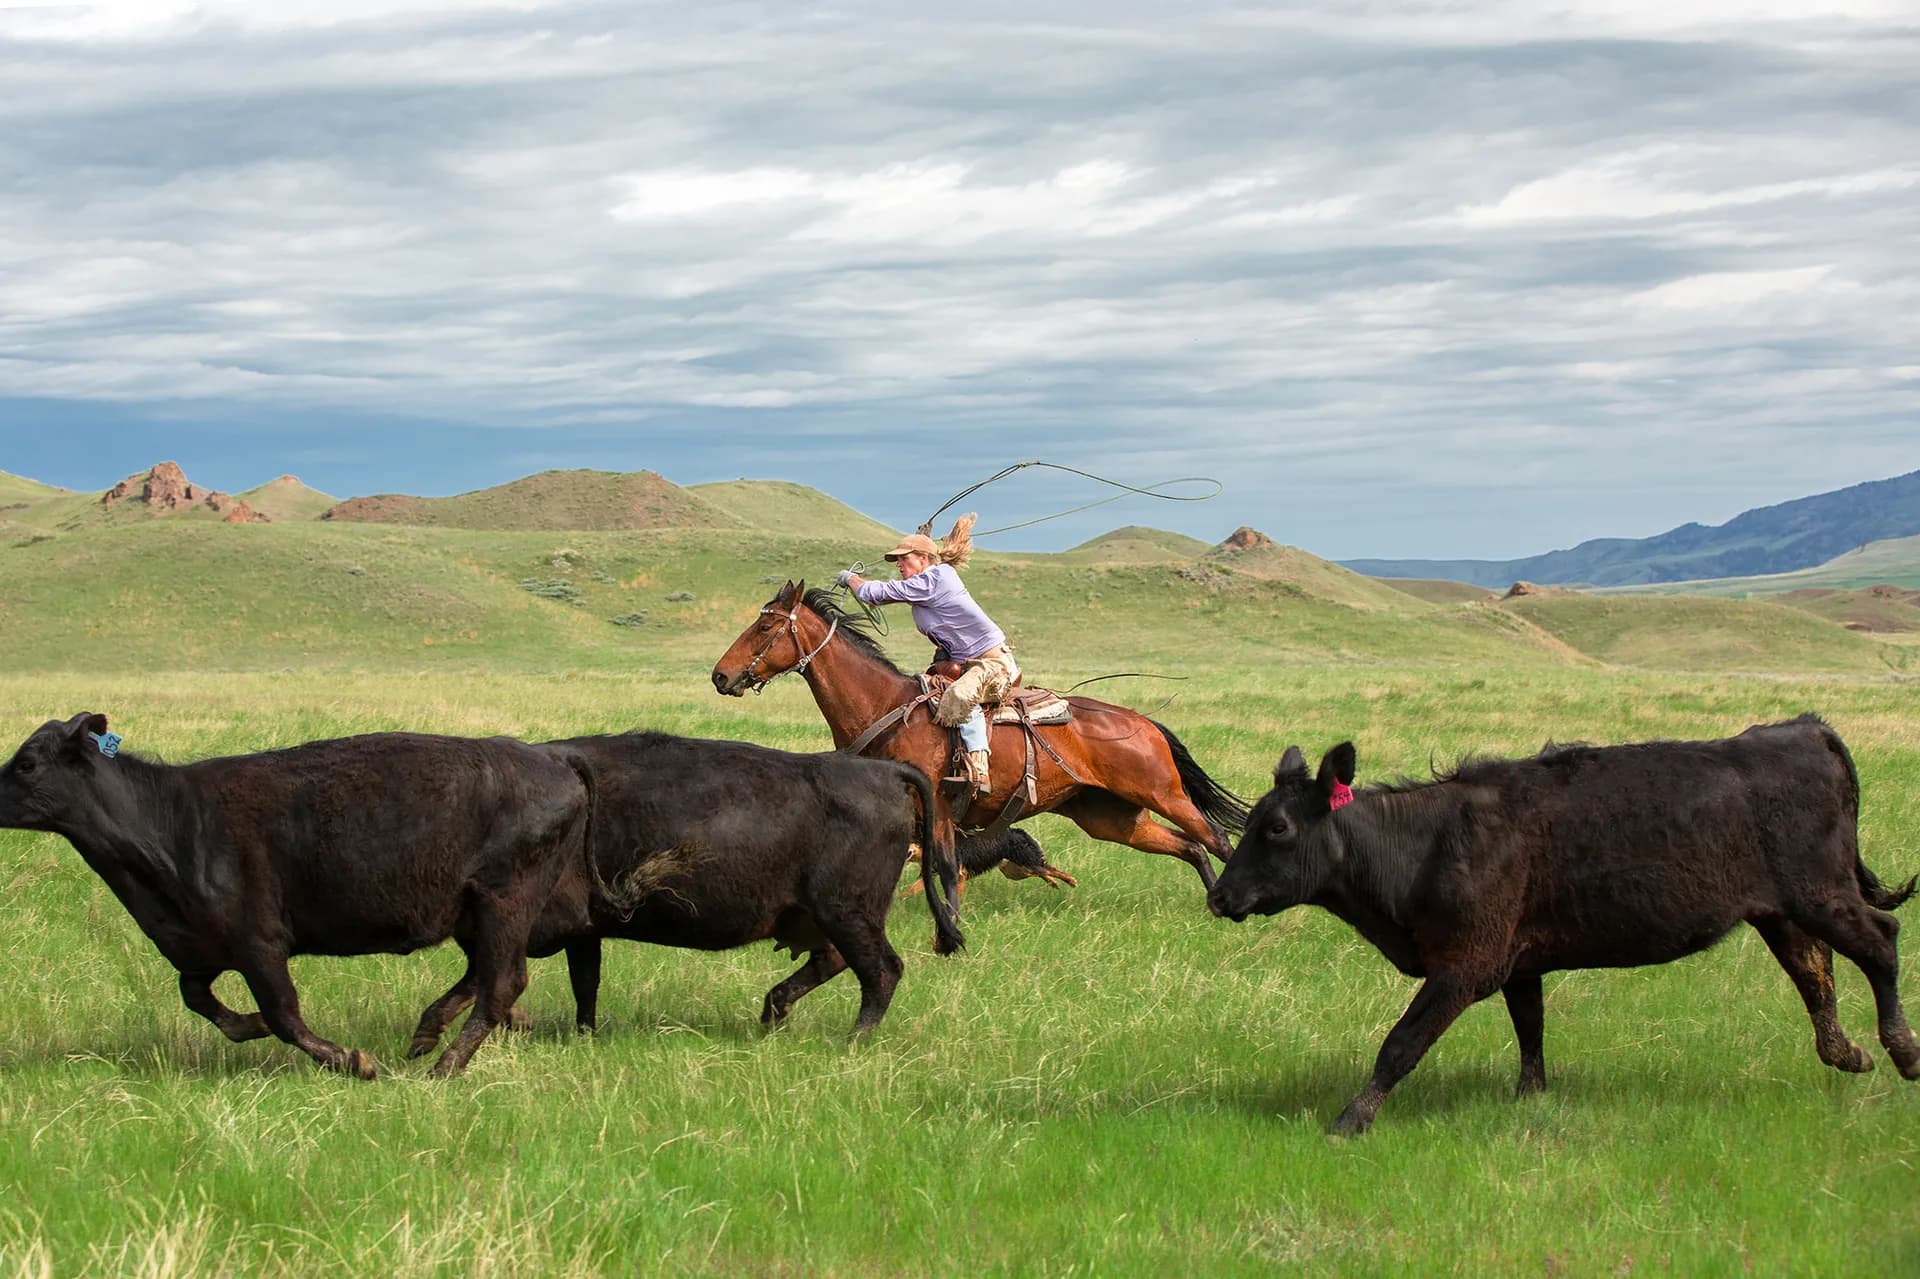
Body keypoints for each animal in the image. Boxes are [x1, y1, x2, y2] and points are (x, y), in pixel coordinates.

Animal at [0, 713, 589, 1079]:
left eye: (26, 763)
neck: (172, 825)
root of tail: (553, 760)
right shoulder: (199, 948)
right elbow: (201, 999)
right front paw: (251, 1026)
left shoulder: (260, 943)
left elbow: (285, 1015)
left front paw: (356, 1063)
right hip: (472, 912)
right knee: (485, 976)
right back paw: (429, 1035)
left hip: (505, 900)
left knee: (501, 983)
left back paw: (444, 1068)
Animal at [404, 731, 961, 1053]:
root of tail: (883, 771)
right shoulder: (585, 932)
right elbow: (585, 985)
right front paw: (582, 1036)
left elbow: (493, 976)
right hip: (829, 918)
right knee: (836, 962)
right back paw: (774, 1013)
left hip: (848, 912)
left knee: (881, 971)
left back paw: (852, 1041)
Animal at [711, 581, 1250, 893]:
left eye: (764, 627)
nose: (720, 675)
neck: (886, 707)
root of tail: (1142, 722)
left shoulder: (939, 809)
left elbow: (949, 869)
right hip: (1110, 818)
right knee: (1191, 848)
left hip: (1163, 794)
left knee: (1217, 839)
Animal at [1206, 715, 1920, 1136]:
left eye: (1277, 827)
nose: (1218, 896)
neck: (1424, 844)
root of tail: (1803, 729)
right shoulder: (1520, 964)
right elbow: (1531, 1031)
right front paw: (1532, 1099)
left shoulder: (1466, 964)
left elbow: (1400, 1044)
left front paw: (1349, 1121)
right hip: (1782, 909)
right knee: (1815, 970)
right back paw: (1847, 1053)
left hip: (1820, 892)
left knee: (1879, 941)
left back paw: (1902, 1051)